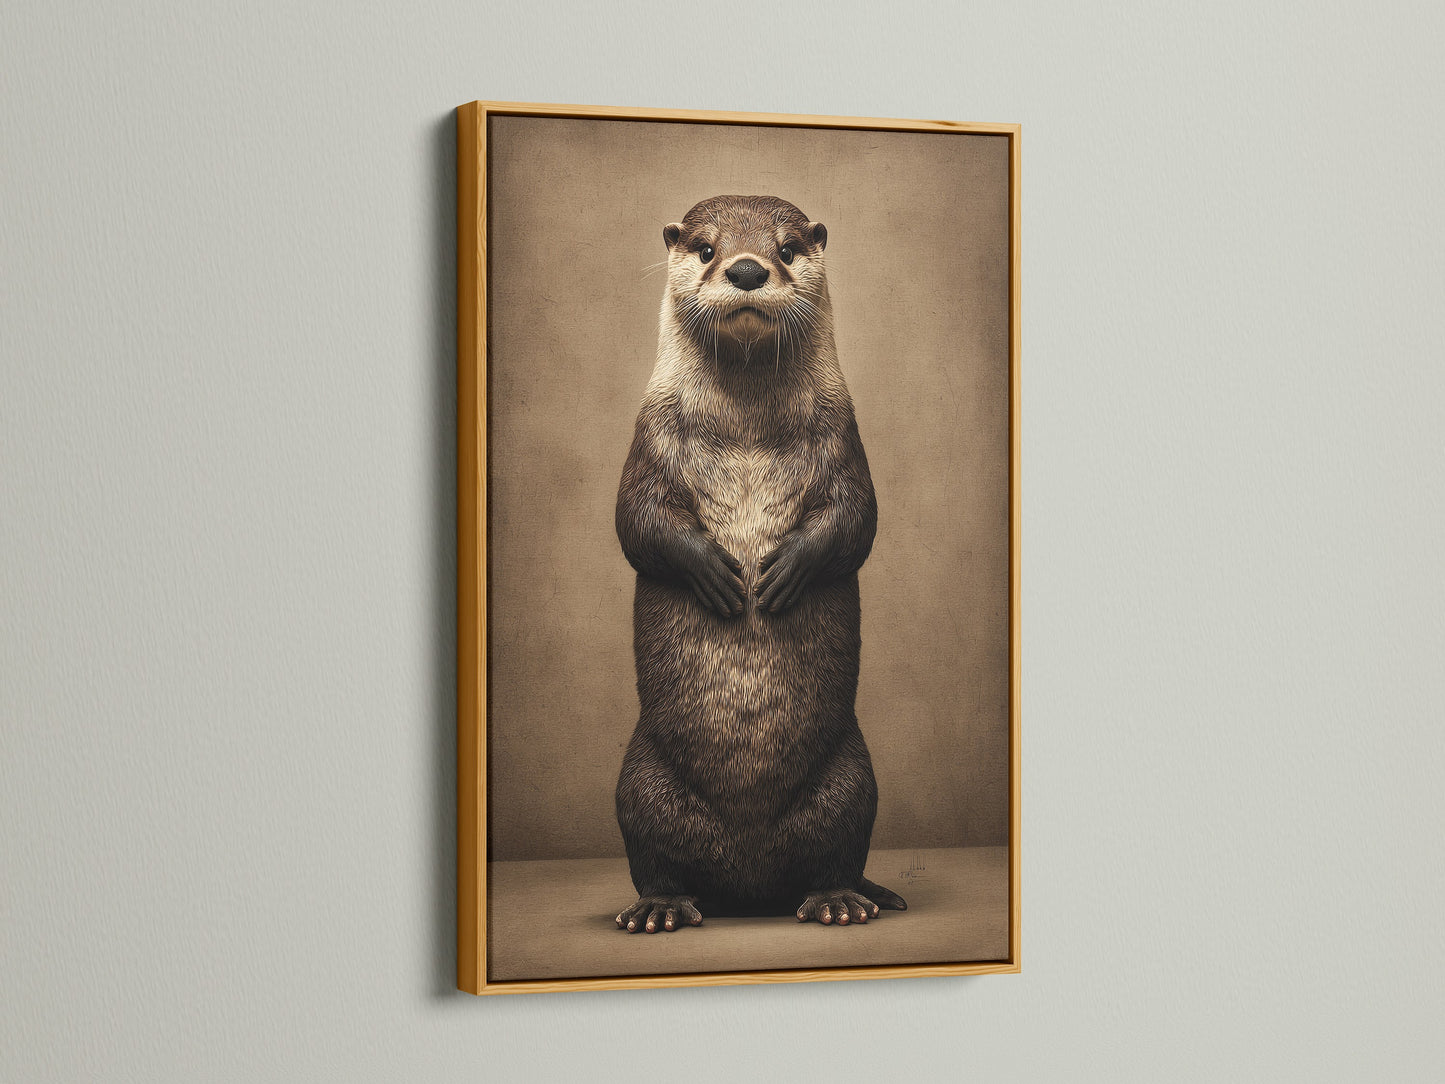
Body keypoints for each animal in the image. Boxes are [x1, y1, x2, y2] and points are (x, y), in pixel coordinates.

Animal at [613, 195, 906, 934]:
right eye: (707, 248)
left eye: (788, 248)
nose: (747, 269)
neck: (744, 428)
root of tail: (748, 886)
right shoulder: (648, 439)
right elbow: (636, 522)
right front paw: (715, 572)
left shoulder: (843, 437)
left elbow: (857, 520)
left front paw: (785, 570)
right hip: (639, 781)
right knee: (652, 855)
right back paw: (660, 907)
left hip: (851, 778)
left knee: (838, 850)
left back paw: (840, 900)